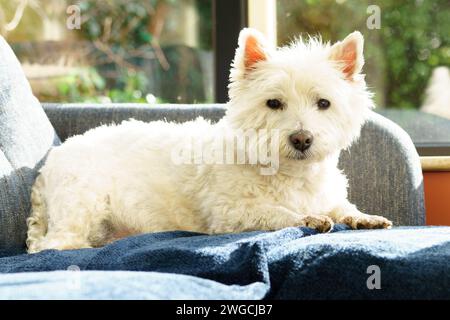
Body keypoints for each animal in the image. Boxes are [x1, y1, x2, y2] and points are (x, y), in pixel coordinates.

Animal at [26, 28, 390, 252]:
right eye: (273, 103)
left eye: (324, 103)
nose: (302, 139)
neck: (290, 174)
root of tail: (49, 163)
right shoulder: (229, 213)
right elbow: (275, 212)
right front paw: (306, 218)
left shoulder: (327, 195)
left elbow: (343, 207)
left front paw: (364, 217)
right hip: (83, 203)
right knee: (52, 245)